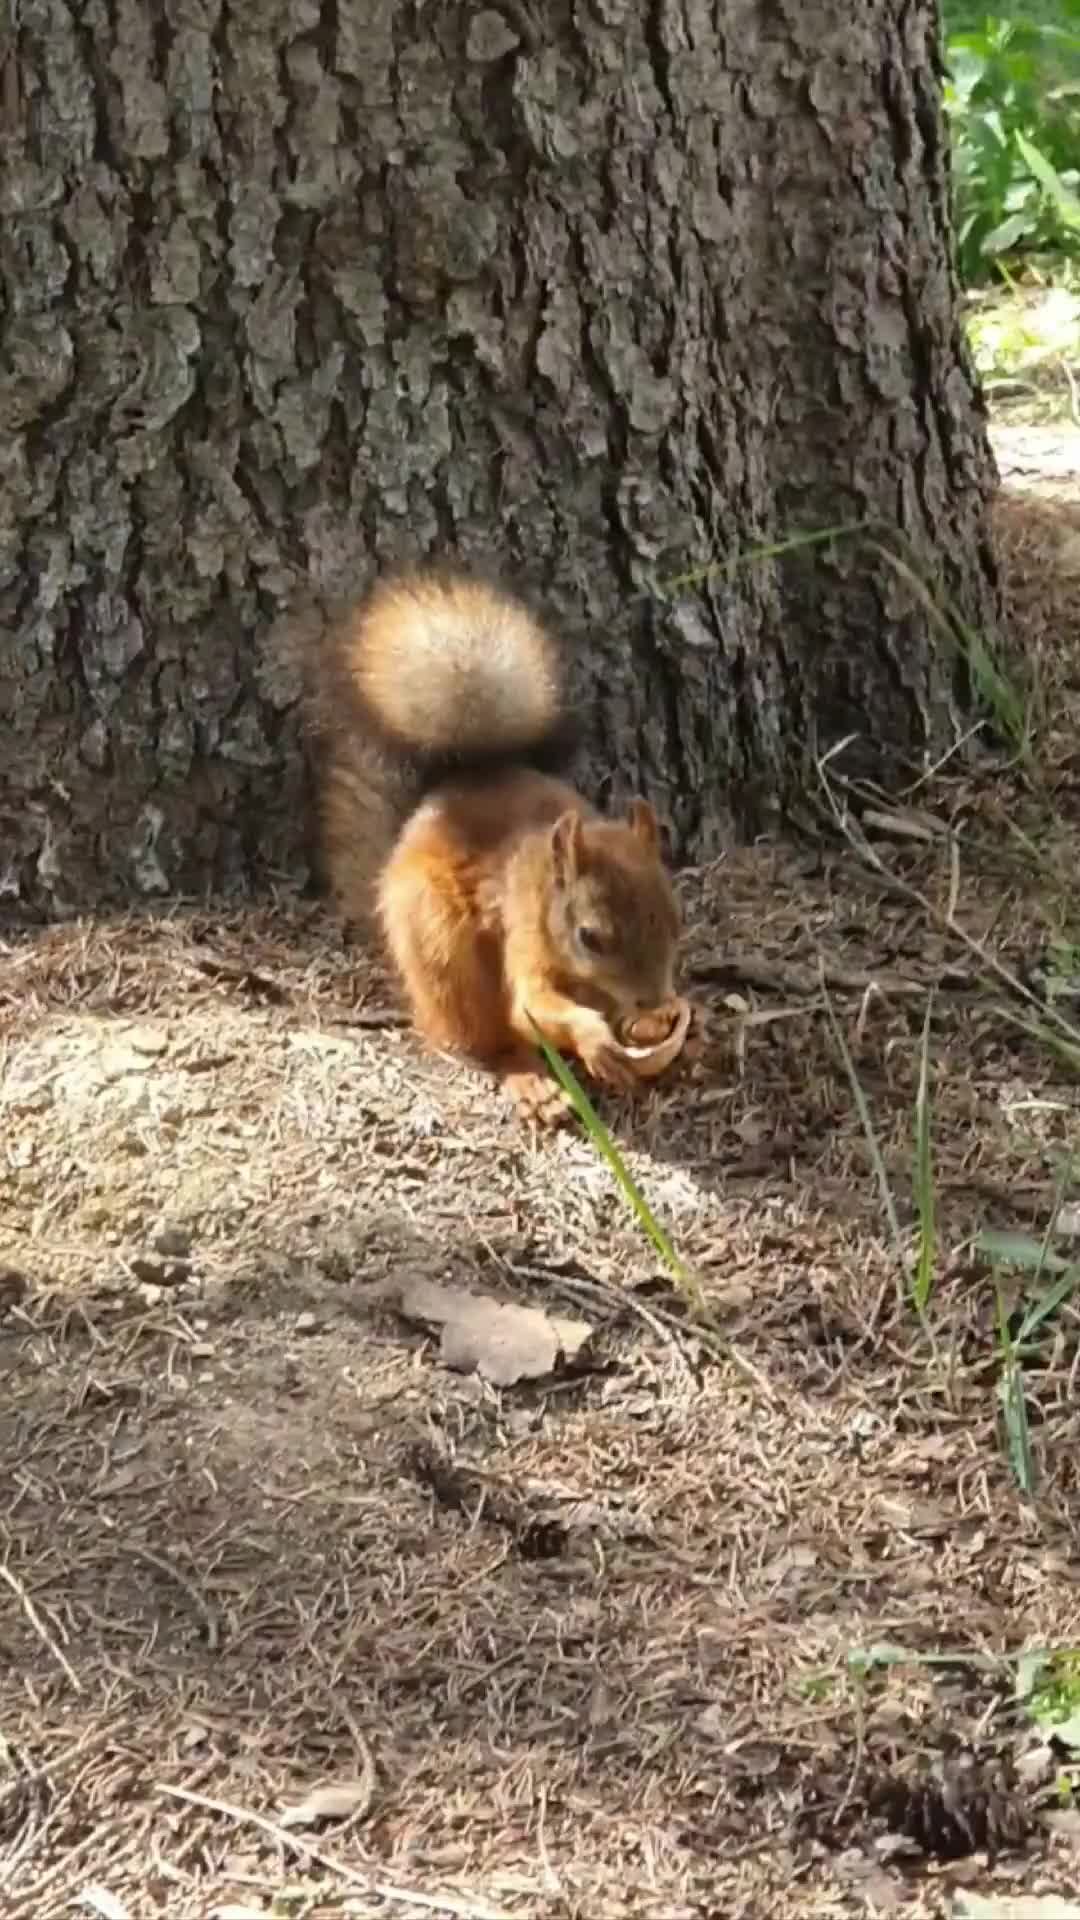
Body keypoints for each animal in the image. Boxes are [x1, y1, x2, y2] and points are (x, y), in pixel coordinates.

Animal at [311, 564, 680, 1121]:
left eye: (676, 920)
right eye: (590, 937)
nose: (653, 1001)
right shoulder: (522, 934)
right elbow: (530, 1008)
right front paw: (595, 1040)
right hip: (444, 951)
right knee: (483, 1038)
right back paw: (532, 1082)